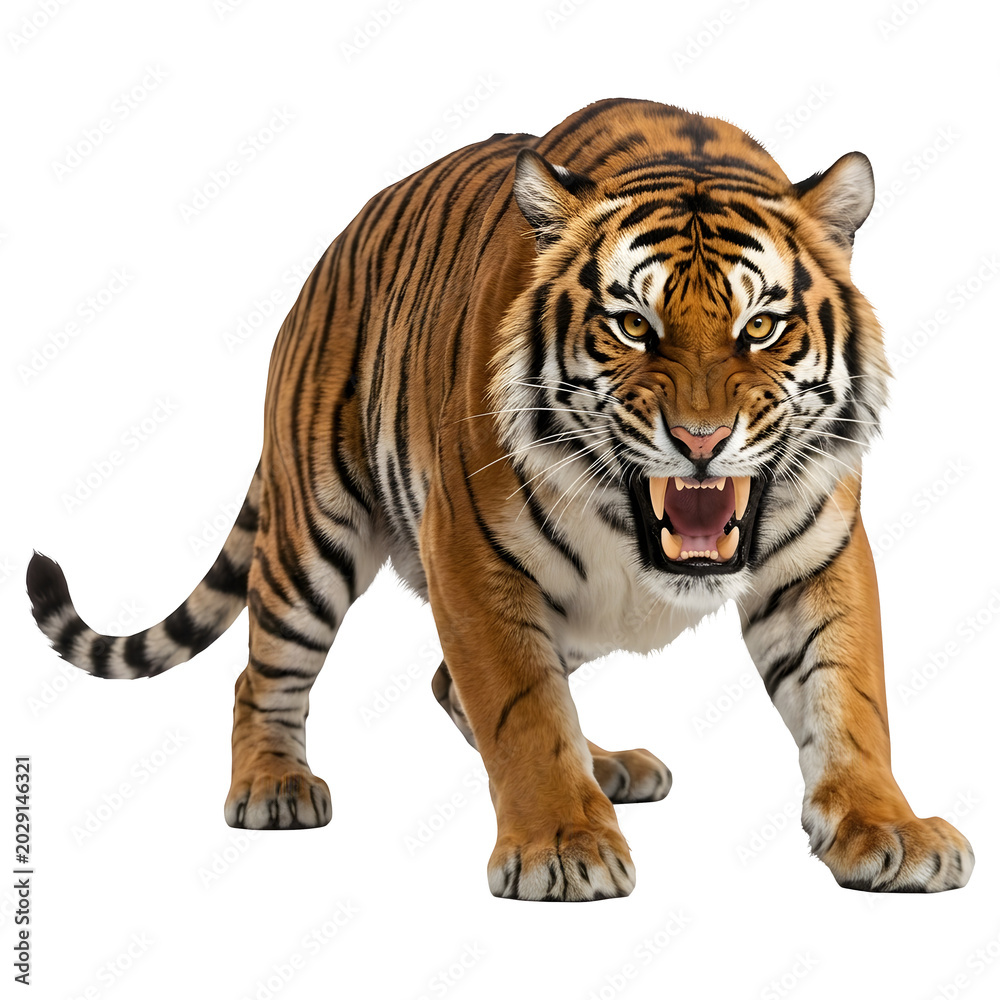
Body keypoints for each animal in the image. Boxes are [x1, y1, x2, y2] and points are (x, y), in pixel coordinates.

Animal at [27, 96, 973, 900]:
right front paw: (561, 843)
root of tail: (327, 257)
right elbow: (521, 708)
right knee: (264, 673)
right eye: (634, 326)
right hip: (313, 534)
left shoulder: (822, 553)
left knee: (455, 683)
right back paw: (274, 783)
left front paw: (889, 828)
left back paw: (609, 767)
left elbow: (848, 696)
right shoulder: (472, 555)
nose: (701, 440)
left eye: (762, 327)